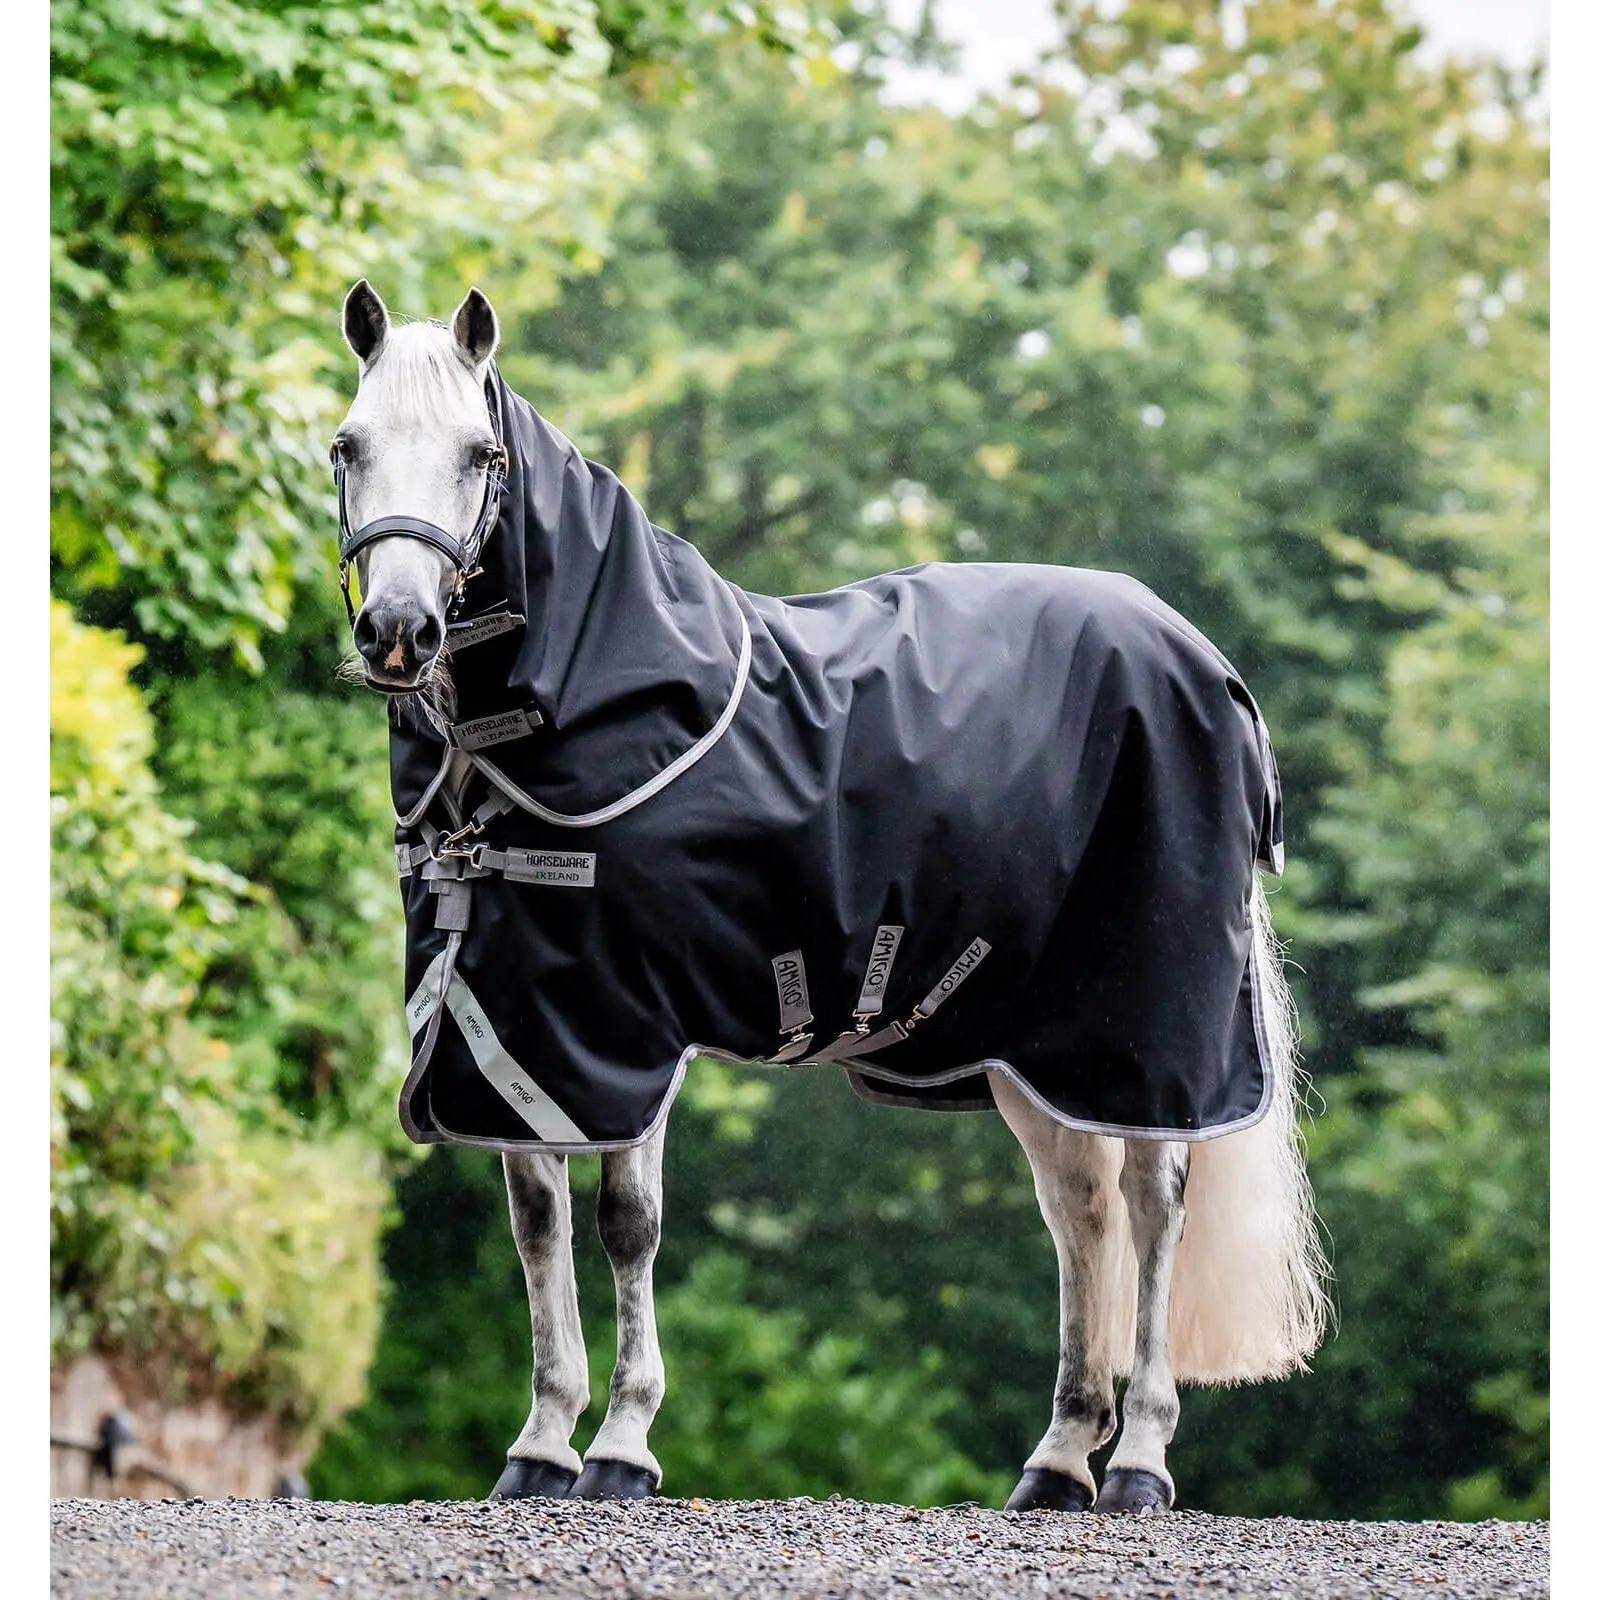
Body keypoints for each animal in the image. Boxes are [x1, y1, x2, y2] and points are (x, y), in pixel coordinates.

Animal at [331, 279, 1331, 1516]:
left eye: (480, 454)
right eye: (348, 445)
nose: (398, 631)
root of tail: (1206, 662)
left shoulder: (627, 1024)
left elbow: (625, 1224)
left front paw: (620, 1446)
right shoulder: (522, 1027)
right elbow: (536, 1221)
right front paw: (539, 1445)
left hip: (1149, 1024)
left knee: (1152, 1201)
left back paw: (1139, 1460)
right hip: (1041, 1047)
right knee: (1081, 1212)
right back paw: (1056, 1461)